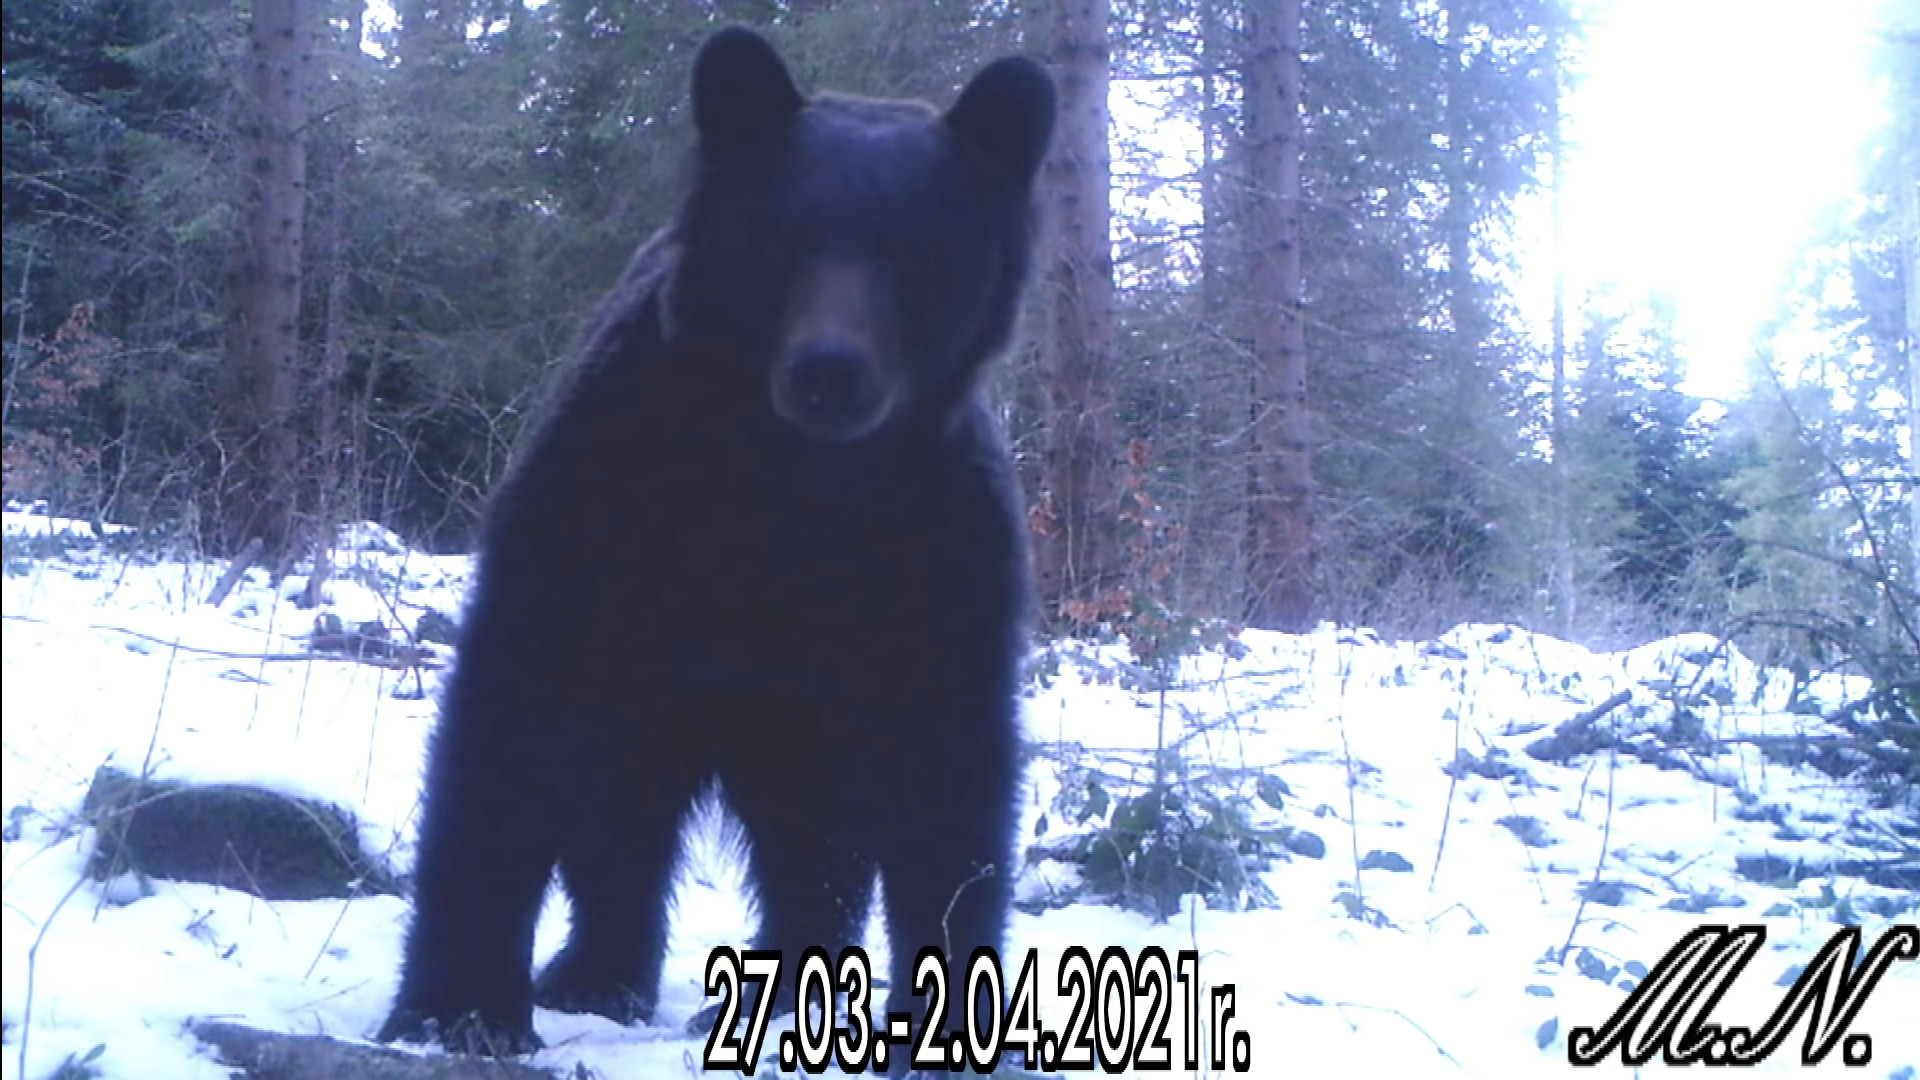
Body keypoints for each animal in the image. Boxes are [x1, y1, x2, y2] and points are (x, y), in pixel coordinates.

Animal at [376, 25, 1059, 1068]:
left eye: (915, 247)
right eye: (790, 234)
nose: (830, 371)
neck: (790, 485)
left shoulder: (931, 557)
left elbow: (947, 782)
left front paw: (948, 1021)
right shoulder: (610, 503)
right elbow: (513, 730)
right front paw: (460, 1007)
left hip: (794, 722)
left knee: (808, 841)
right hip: (664, 696)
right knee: (624, 817)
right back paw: (596, 974)